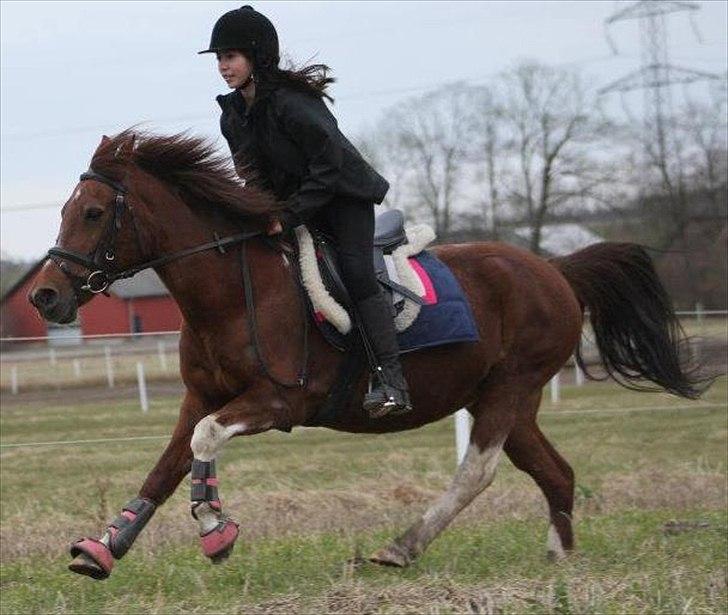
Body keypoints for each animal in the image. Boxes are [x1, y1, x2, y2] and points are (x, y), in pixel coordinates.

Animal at [29, 132, 704, 580]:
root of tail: (556, 269)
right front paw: (105, 547)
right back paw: (559, 559)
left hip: (511, 387)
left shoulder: (279, 401)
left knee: (478, 471)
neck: (231, 293)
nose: (44, 295)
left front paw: (216, 530)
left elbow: (203, 441)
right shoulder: (203, 394)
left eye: (93, 212)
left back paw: (403, 546)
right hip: (508, 398)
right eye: (63, 211)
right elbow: (166, 466)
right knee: (554, 471)